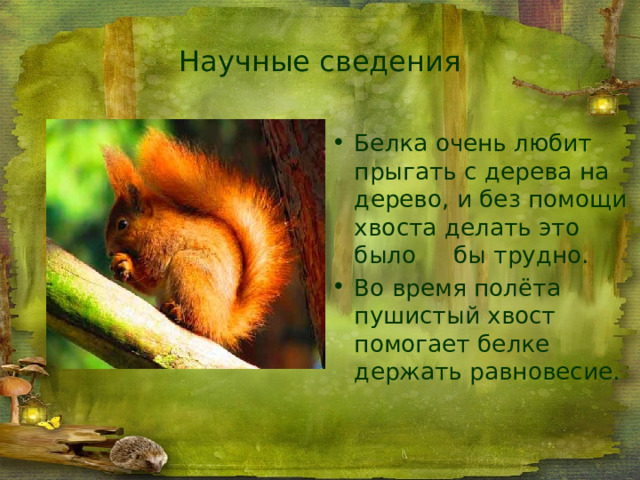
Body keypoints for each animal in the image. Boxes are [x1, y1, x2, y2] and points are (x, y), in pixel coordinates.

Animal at [103, 128, 292, 351]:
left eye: (122, 224)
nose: (109, 252)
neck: (154, 224)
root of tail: (222, 323)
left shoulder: (161, 246)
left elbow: (151, 277)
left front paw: (126, 264)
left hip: (188, 268)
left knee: (200, 324)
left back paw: (178, 313)